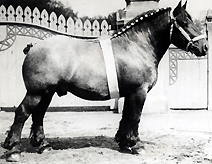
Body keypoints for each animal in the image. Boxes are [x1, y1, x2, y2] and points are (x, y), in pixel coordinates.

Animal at [3, 0, 209, 162]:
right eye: (184, 22)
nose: (205, 47)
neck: (136, 47)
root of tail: (33, 47)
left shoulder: (130, 93)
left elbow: (126, 116)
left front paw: (123, 142)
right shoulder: (139, 92)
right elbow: (135, 117)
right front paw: (136, 145)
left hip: (47, 93)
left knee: (38, 115)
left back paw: (43, 145)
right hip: (36, 92)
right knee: (22, 113)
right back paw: (13, 150)